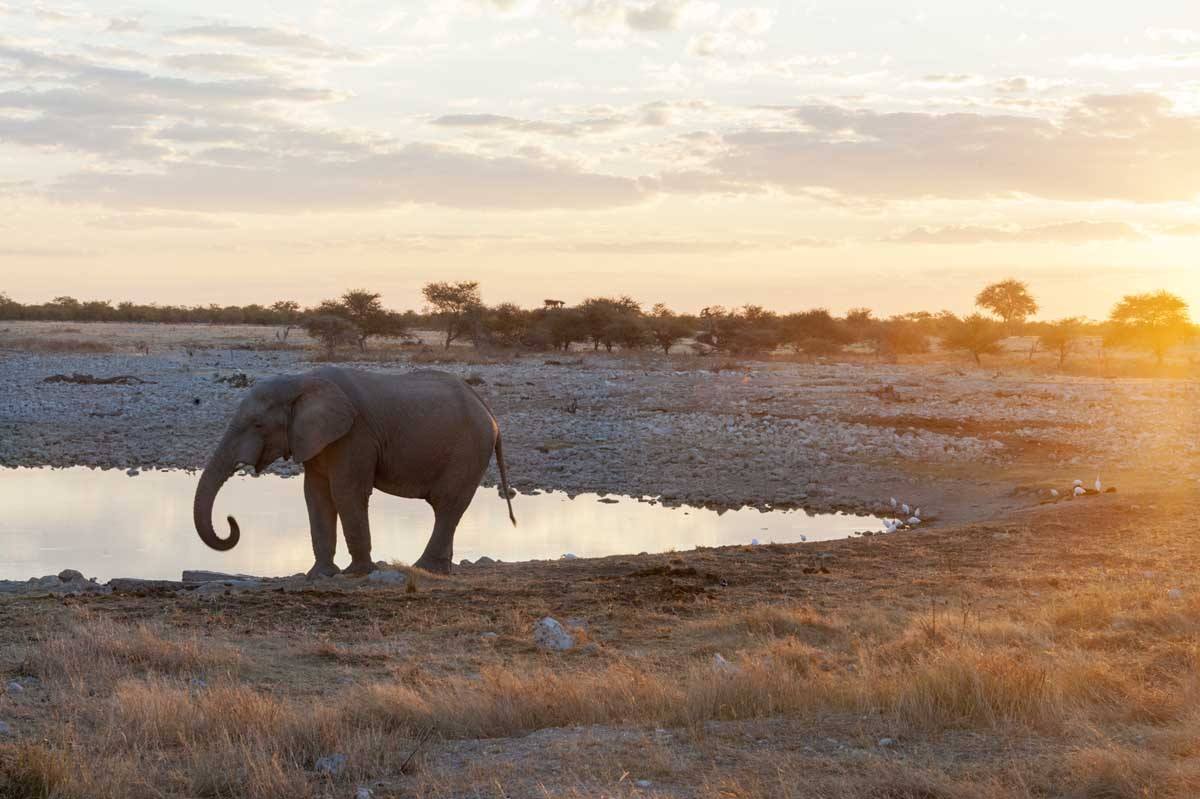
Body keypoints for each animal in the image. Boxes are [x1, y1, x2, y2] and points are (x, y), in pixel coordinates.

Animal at [193, 364, 516, 575]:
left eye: (258, 425)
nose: (231, 521)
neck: (301, 382)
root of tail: (489, 412)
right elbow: (316, 495)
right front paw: (319, 575)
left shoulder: (354, 435)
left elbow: (346, 492)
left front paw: (357, 573)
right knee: (449, 509)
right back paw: (438, 570)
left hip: (469, 450)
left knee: (448, 506)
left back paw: (423, 569)